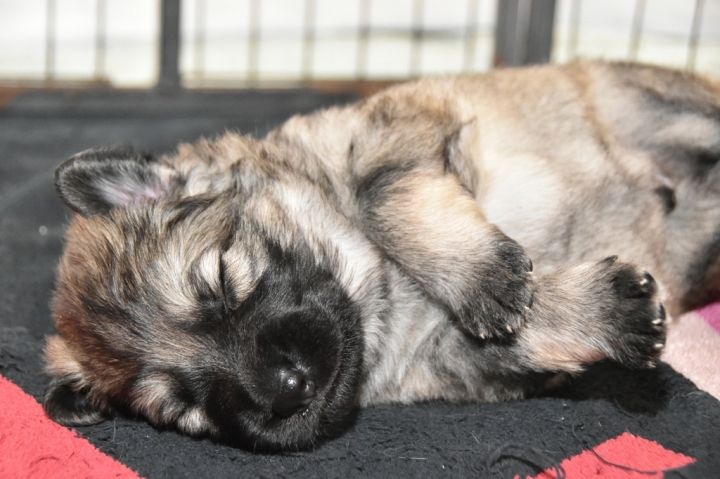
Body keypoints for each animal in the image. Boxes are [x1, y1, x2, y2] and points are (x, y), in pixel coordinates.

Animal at [43, 60, 720, 450]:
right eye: (186, 409)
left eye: (222, 280)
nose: (288, 390)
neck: (381, 293)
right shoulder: (452, 362)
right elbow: (522, 341)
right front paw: (605, 313)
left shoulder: (398, 129)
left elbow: (381, 192)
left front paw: (484, 279)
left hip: (660, 106)